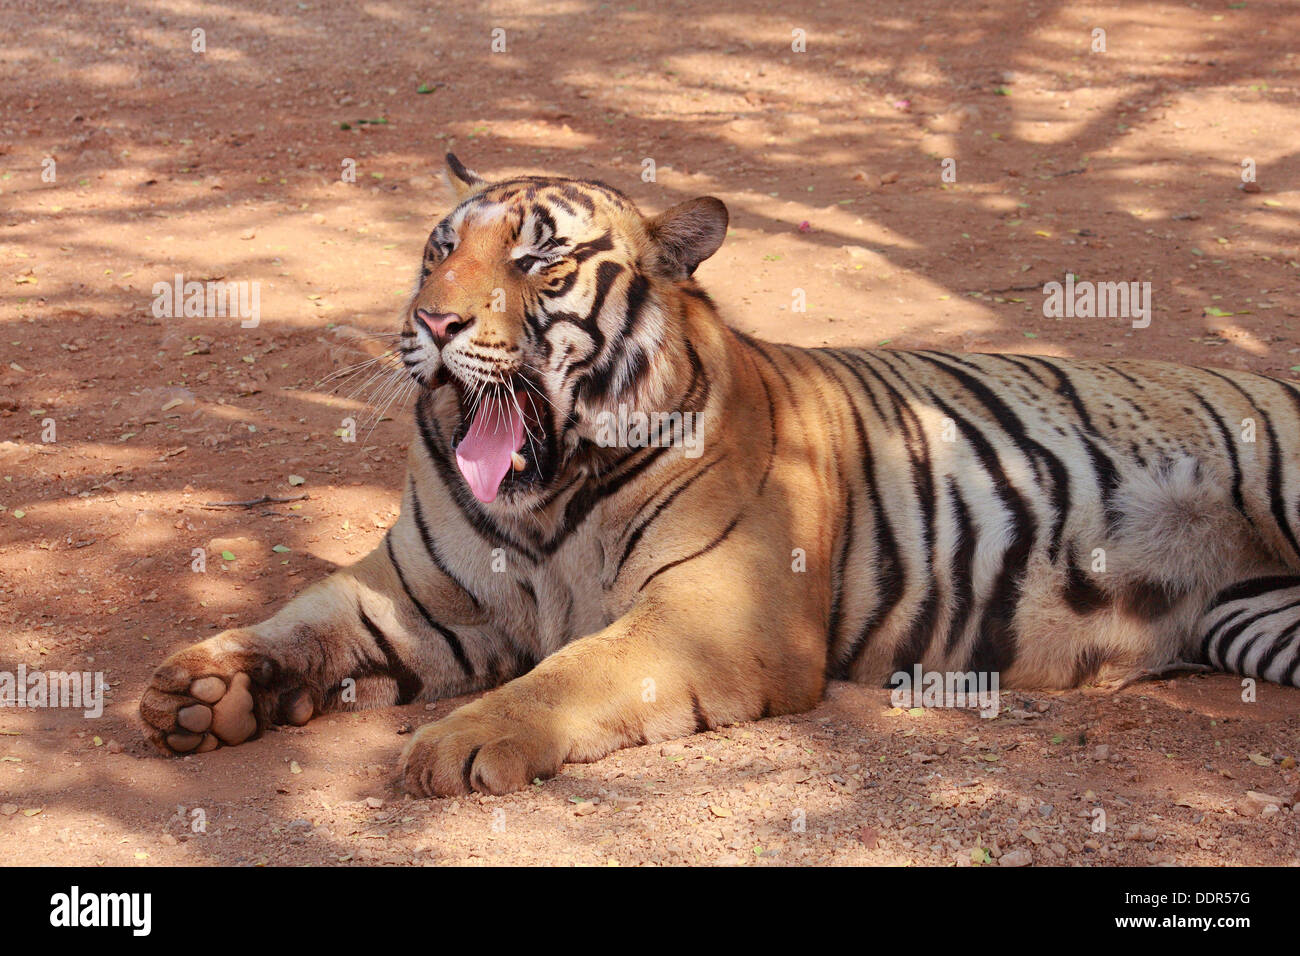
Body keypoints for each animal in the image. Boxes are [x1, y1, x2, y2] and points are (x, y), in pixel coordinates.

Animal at [139, 155, 1300, 801]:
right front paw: (199, 690)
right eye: (438, 251)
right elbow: (305, 615)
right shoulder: (428, 600)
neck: (545, 493)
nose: (430, 322)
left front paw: (459, 745)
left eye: (537, 263)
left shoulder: (711, 611)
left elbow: (568, 673)